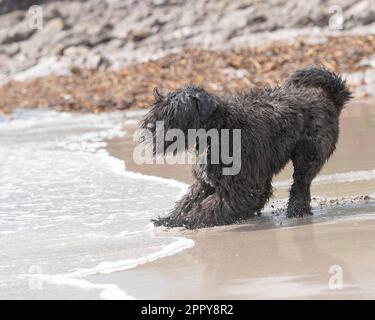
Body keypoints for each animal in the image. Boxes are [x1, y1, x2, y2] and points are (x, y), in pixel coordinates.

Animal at [140, 66, 352, 229]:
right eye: (158, 105)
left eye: (176, 111)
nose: (150, 127)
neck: (220, 129)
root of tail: (330, 100)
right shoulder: (205, 182)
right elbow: (188, 201)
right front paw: (170, 218)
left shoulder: (240, 187)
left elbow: (209, 207)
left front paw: (185, 221)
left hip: (308, 155)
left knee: (300, 184)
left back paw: (296, 210)